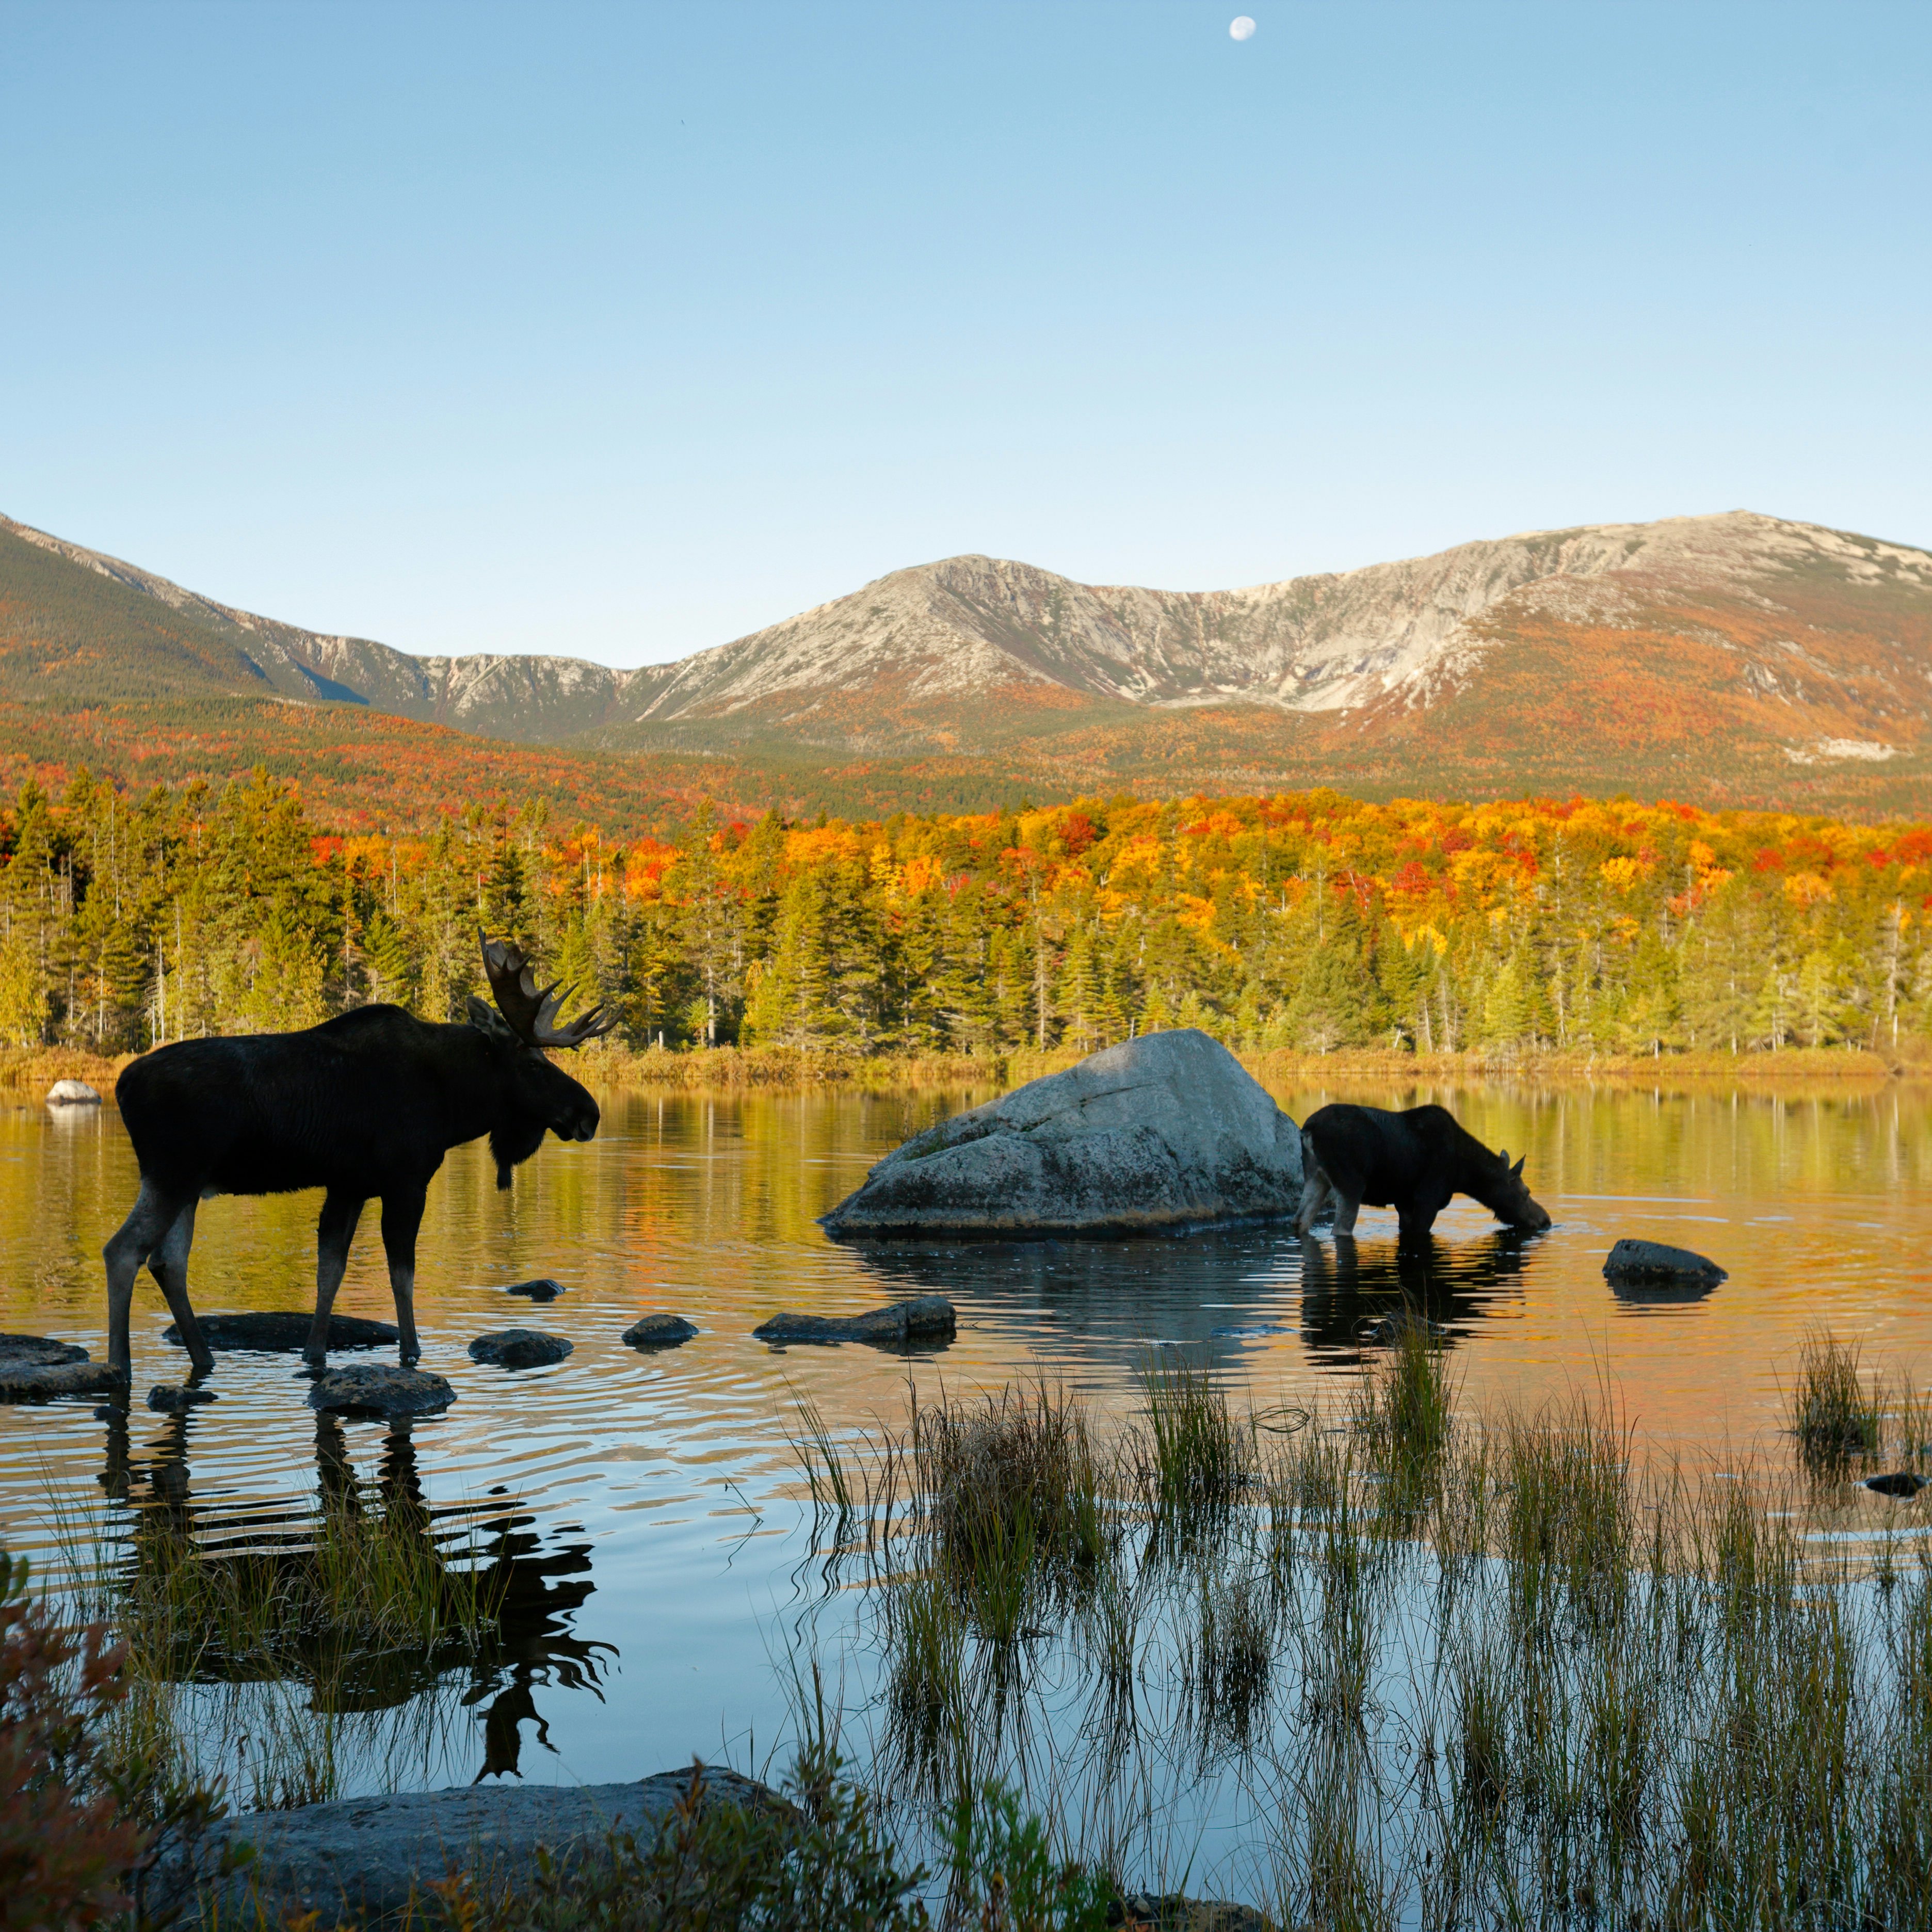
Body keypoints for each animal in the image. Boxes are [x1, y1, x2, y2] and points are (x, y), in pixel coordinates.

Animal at [103, 936, 615, 1381]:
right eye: (534, 1065)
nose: (589, 1113)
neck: (454, 1105)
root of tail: (122, 1086)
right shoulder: (406, 1180)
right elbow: (402, 1274)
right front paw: (411, 1352)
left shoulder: (348, 1185)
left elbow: (330, 1271)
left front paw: (313, 1353)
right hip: (172, 1174)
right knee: (123, 1251)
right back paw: (120, 1365)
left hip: (189, 1185)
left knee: (169, 1261)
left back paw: (203, 1357)